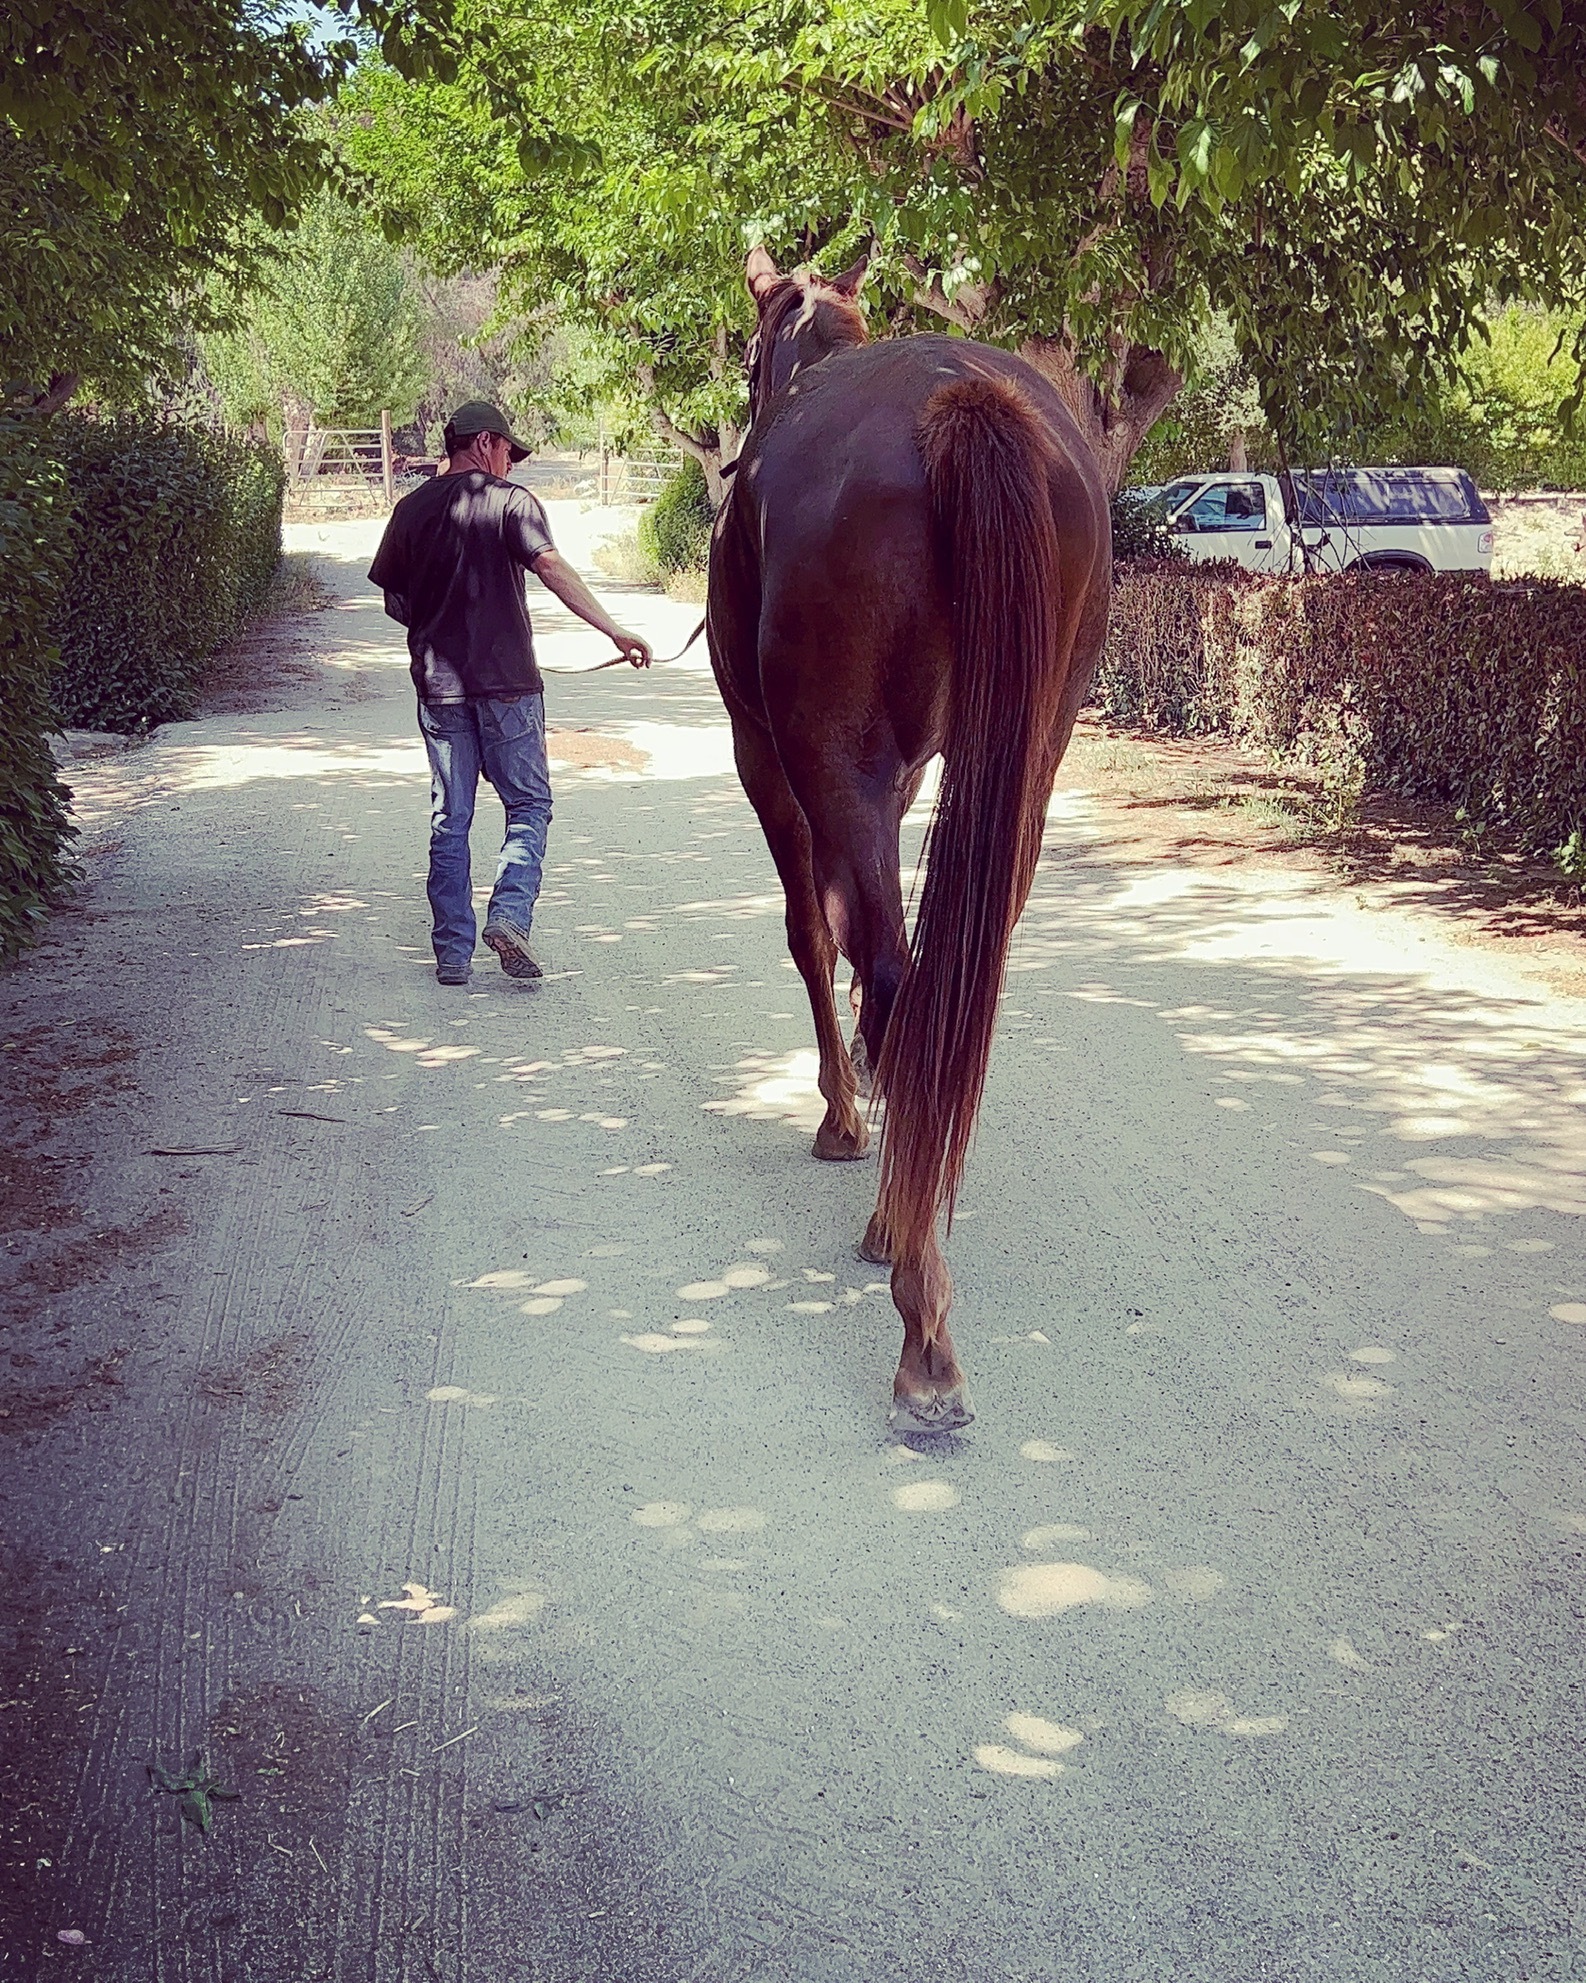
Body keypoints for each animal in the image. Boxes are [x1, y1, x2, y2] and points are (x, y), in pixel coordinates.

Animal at [713, 251, 1110, 1427]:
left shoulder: (772, 760)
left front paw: (843, 1119)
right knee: (942, 984)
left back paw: (915, 1305)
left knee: (891, 974)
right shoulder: (910, 776)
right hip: (1029, 758)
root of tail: (958, 404)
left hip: (824, 755)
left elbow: (812, 933)